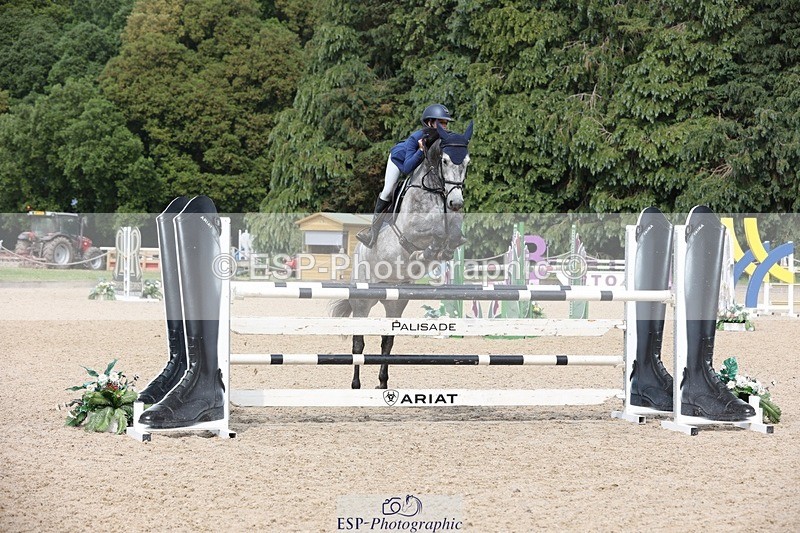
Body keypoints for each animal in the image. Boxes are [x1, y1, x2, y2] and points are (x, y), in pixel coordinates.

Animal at [330, 121, 473, 389]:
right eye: (445, 160)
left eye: (467, 162)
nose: (457, 203)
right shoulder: (412, 229)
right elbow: (435, 232)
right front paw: (428, 251)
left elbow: (453, 234)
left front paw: (442, 250)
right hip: (362, 300)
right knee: (358, 342)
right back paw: (356, 385)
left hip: (395, 301)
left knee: (387, 341)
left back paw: (382, 383)